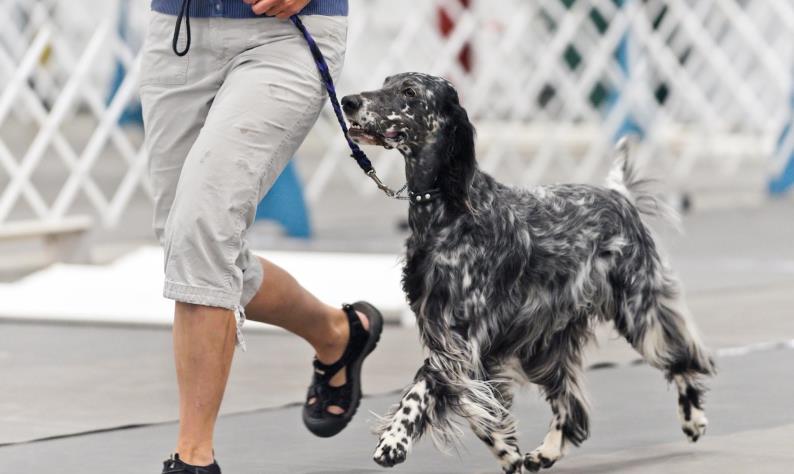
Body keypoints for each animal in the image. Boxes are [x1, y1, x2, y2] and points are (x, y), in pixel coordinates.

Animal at [338, 74, 712, 474]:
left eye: (408, 91)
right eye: (386, 82)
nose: (348, 101)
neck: (449, 211)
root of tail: (620, 197)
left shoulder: (459, 341)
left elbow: (423, 391)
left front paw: (394, 440)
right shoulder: (459, 342)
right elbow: (482, 412)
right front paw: (508, 450)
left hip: (639, 312)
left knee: (682, 359)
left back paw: (693, 419)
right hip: (545, 345)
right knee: (570, 406)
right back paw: (545, 452)